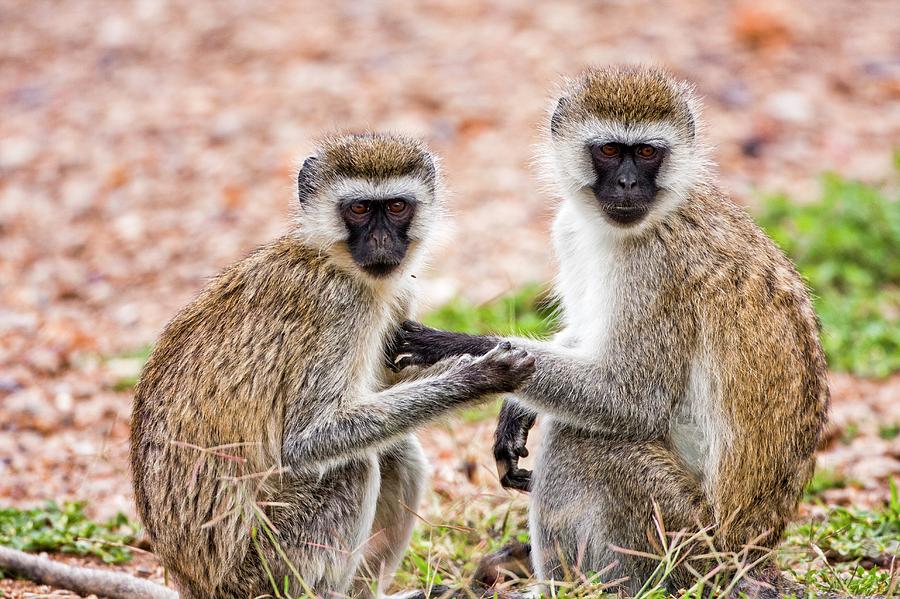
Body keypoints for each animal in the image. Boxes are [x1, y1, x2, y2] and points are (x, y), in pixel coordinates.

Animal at [0, 132, 536, 599]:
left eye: (397, 206)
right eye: (360, 208)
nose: (383, 244)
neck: (336, 260)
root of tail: (198, 587)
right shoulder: (336, 306)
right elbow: (306, 439)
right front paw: (479, 377)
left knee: (394, 451)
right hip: (261, 564)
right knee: (354, 465)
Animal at [398, 67, 832, 596]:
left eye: (645, 152)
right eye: (608, 150)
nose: (627, 183)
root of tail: (750, 558)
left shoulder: (656, 264)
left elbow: (633, 396)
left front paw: (456, 348)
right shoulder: (569, 229)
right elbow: (586, 337)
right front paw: (515, 407)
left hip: (684, 541)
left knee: (582, 439)